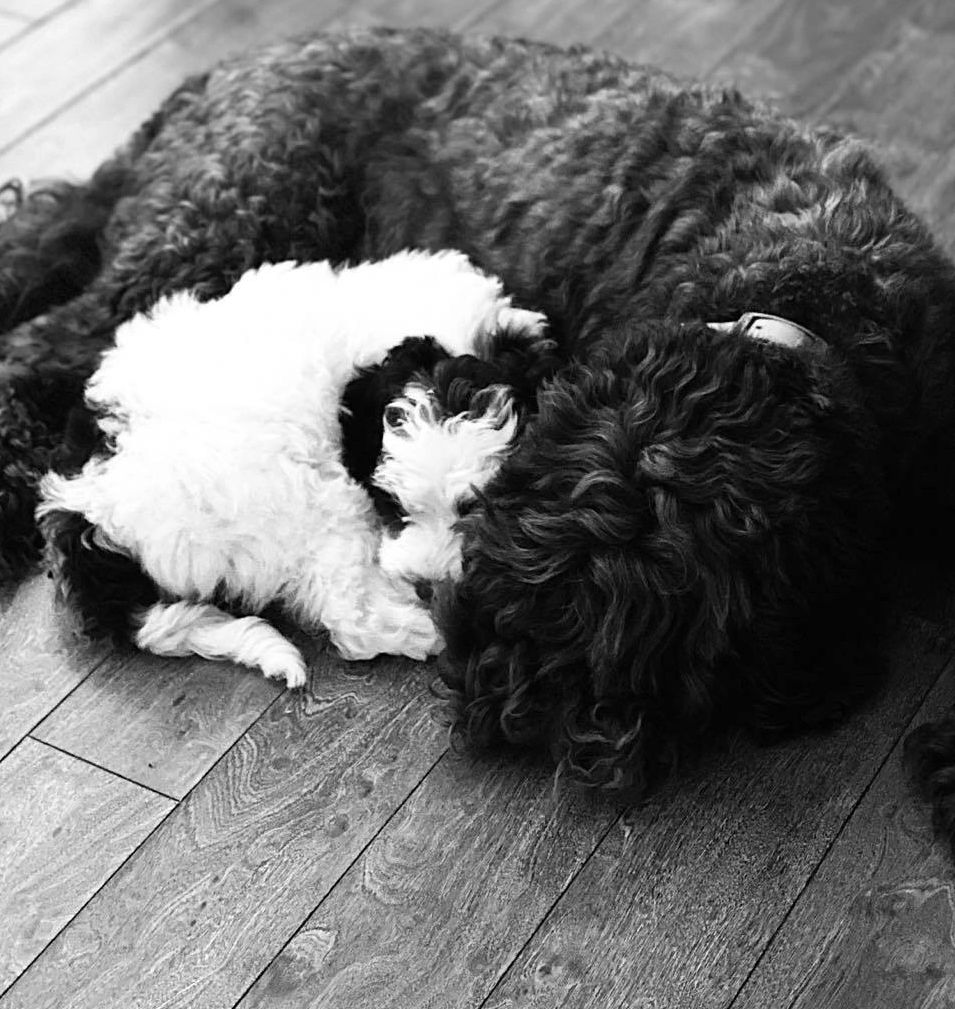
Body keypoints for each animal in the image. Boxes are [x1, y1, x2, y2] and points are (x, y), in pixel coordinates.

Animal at [37, 252, 545, 690]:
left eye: (469, 512)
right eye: (395, 508)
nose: (426, 582)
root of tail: (86, 516)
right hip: (298, 500)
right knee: (349, 617)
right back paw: (431, 633)